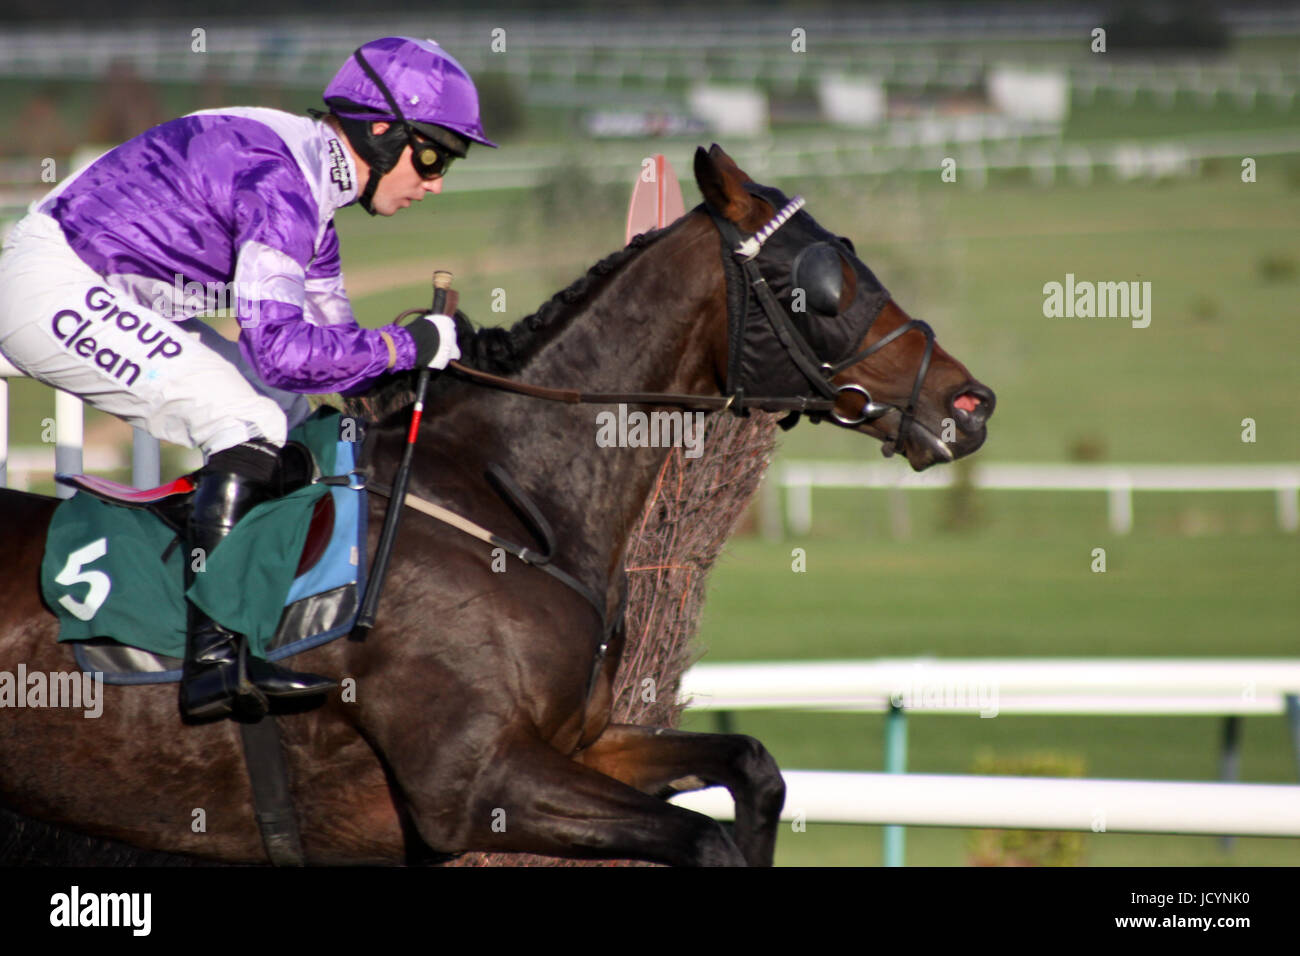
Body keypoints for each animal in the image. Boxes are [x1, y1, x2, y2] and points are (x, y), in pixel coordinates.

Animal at [0, 143, 993, 868]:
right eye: (823, 283)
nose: (971, 403)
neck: (512, 500)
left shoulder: (580, 744)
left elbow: (753, 767)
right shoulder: (475, 785)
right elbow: (706, 842)